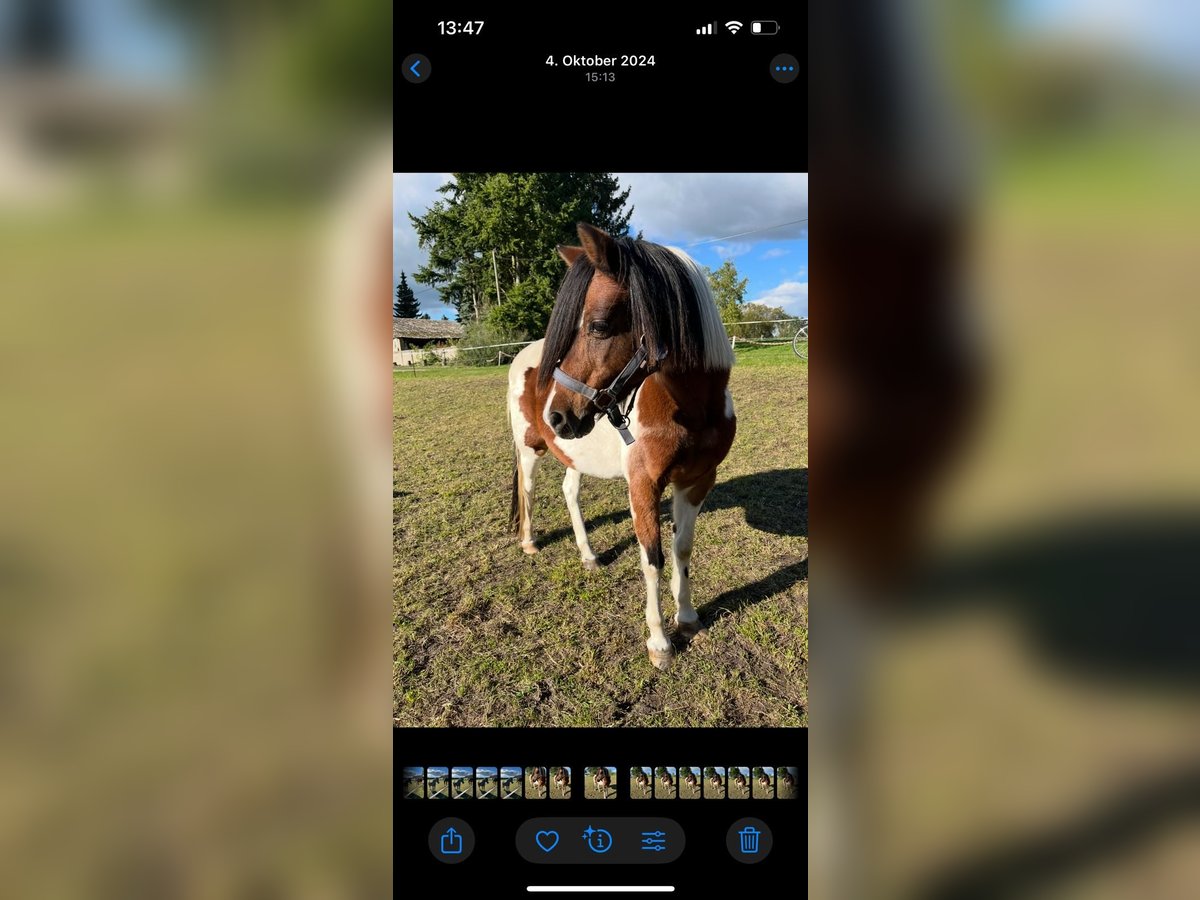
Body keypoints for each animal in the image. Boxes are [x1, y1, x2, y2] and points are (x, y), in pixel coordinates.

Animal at [508, 223, 736, 669]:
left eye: (597, 326)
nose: (556, 416)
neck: (690, 407)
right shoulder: (643, 486)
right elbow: (652, 560)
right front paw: (660, 643)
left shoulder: (697, 482)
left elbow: (682, 551)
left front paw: (688, 619)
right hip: (529, 450)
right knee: (528, 490)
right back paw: (529, 542)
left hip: (573, 452)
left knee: (569, 492)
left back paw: (589, 556)